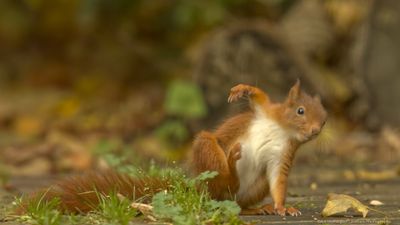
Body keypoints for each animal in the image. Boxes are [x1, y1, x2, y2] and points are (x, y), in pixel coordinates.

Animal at [17, 80, 326, 216]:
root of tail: (197, 189)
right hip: (207, 149)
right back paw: (230, 165)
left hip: (251, 187)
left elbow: (279, 182)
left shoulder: (282, 155)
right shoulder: (266, 111)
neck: (282, 129)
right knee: (221, 185)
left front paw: (282, 206)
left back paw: (259, 209)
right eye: (300, 110)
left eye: (324, 119)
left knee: (234, 202)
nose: (316, 131)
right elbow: (259, 97)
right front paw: (243, 89)